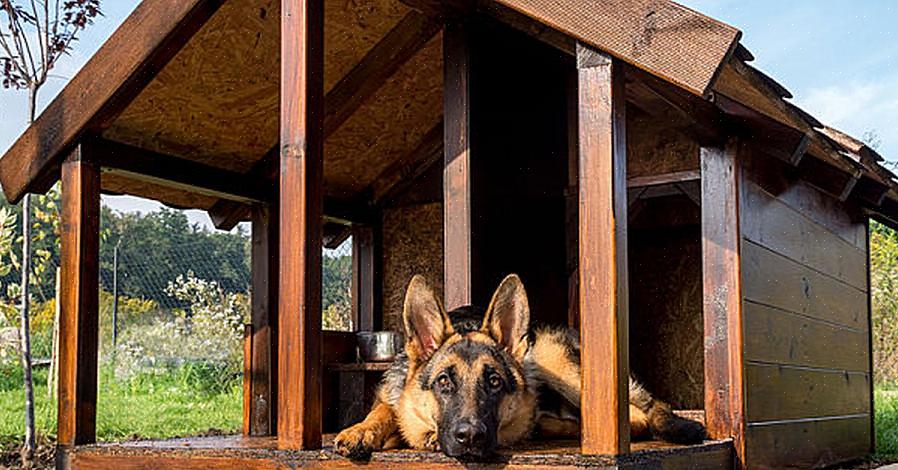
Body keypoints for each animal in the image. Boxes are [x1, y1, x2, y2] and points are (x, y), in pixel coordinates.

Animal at [332, 274, 704, 458]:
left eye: (494, 381)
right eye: (444, 381)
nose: (470, 438)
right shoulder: (393, 397)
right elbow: (384, 410)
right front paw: (360, 430)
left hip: (549, 355)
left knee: (635, 418)